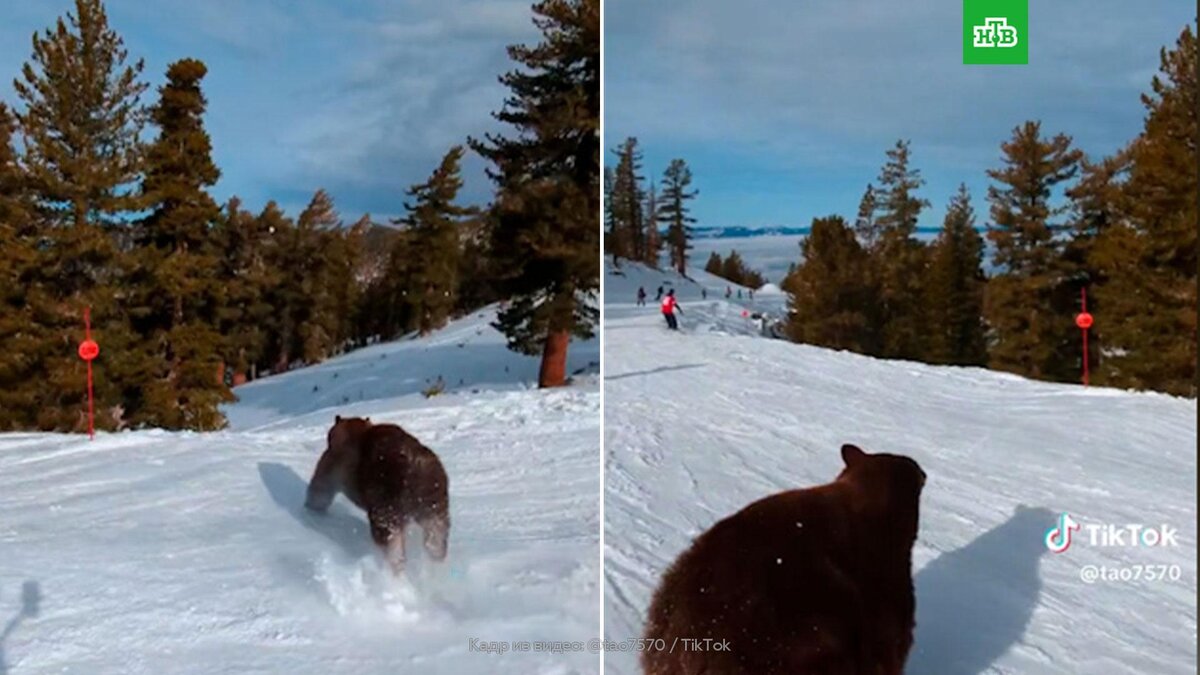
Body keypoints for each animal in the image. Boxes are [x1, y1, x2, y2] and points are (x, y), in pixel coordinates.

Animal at [304, 415, 451, 571]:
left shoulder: (331, 463)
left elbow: (320, 491)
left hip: (386, 507)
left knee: (392, 544)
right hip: (434, 507)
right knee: (435, 540)